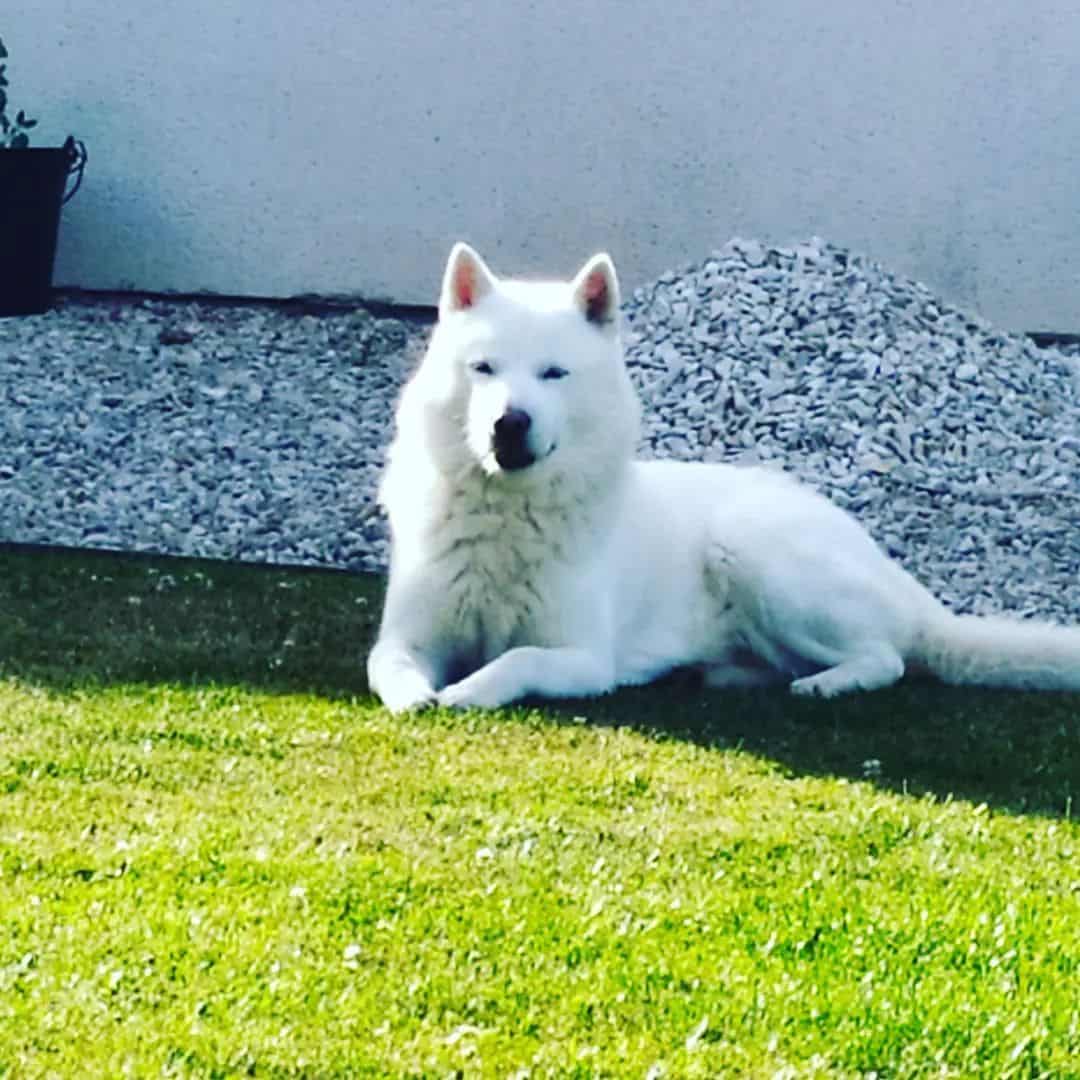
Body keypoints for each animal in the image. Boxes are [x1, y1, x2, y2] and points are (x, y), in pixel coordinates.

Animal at [367, 247, 1080, 717]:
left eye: (553, 374)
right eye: (483, 368)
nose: (509, 424)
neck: (507, 515)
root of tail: (897, 576)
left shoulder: (584, 659)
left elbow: (517, 660)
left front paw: (466, 691)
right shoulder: (406, 636)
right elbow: (388, 668)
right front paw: (417, 696)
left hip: (754, 550)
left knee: (890, 657)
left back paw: (827, 683)